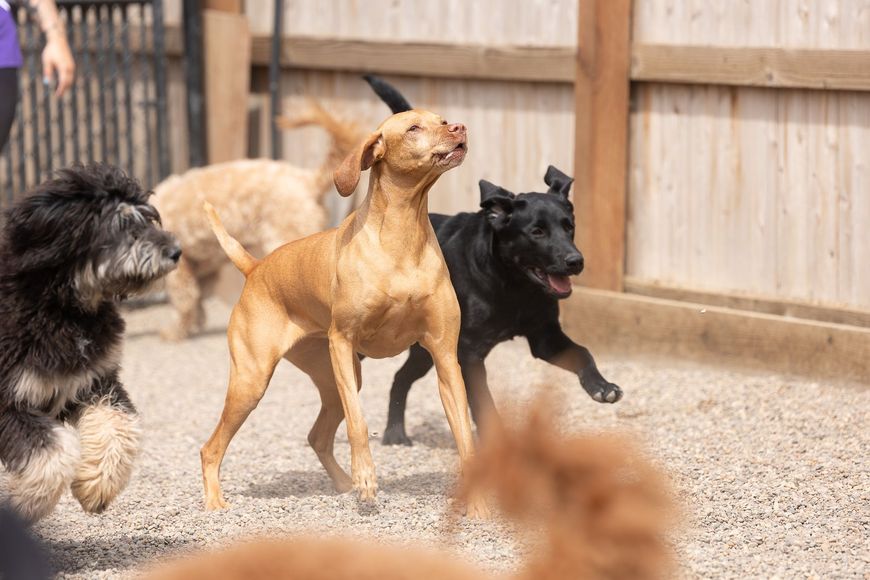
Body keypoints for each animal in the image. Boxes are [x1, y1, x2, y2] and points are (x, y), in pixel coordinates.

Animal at [0, 164, 181, 520]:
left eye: (148, 218)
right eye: (122, 225)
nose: (175, 252)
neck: (64, 309)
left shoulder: (94, 381)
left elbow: (119, 426)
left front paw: (96, 485)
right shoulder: (8, 402)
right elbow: (53, 456)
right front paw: (22, 503)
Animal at [198, 106, 488, 516]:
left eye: (443, 120)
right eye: (413, 128)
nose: (460, 128)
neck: (402, 238)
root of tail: (255, 269)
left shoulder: (445, 355)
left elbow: (464, 434)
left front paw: (477, 504)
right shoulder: (342, 340)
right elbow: (359, 423)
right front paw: (366, 476)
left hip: (333, 376)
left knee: (317, 437)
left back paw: (341, 483)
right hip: (253, 382)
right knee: (211, 447)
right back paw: (215, 500)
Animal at [364, 73, 624, 444]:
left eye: (569, 226)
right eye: (536, 232)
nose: (576, 261)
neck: (511, 285)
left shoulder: (544, 336)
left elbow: (583, 352)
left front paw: (601, 386)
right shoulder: (469, 352)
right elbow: (483, 403)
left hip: (426, 348)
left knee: (401, 377)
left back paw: (395, 432)